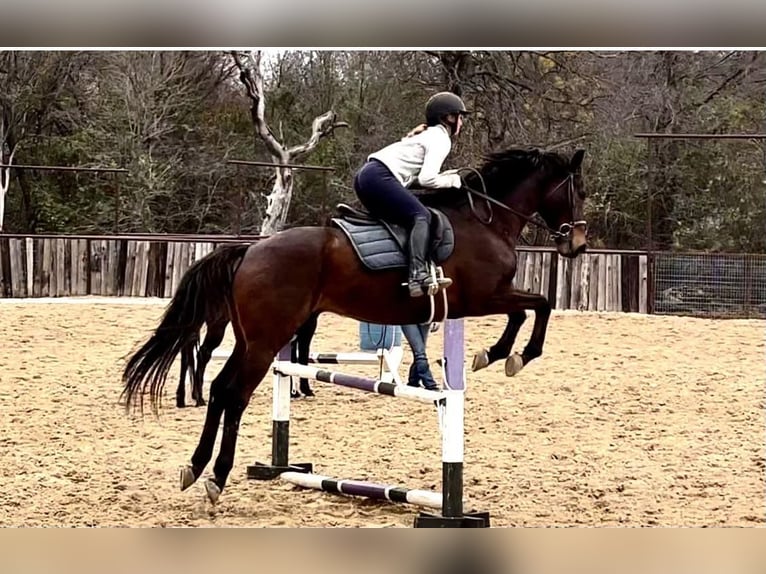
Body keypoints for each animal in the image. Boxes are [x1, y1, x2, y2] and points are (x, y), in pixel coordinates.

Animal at [123, 146, 592, 506]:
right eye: (580, 191)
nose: (578, 245)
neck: (486, 221)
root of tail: (251, 250)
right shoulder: (484, 297)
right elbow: (538, 306)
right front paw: (508, 355)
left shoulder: (487, 297)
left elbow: (529, 309)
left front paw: (497, 355)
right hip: (265, 341)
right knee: (234, 395)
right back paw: (216, 476)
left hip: (251, 339)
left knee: (221, 389)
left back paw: (197, 466)